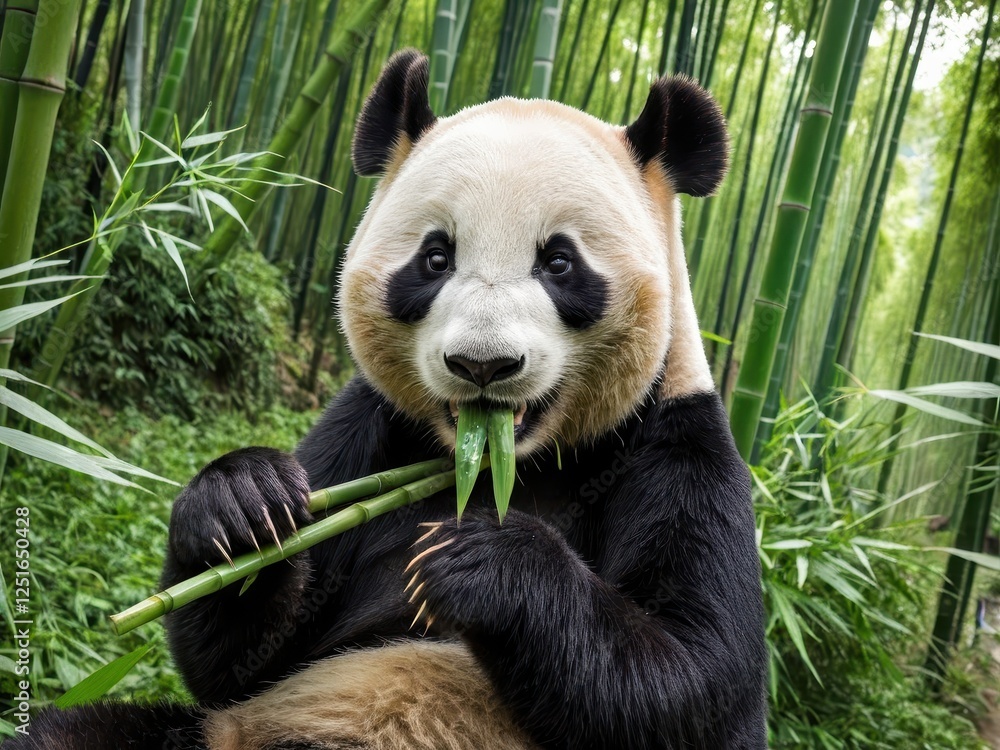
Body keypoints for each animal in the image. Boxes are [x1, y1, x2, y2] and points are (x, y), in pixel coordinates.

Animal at [13, 49, 767, 749]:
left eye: (559, 262)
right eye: (435, 258)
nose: (483, 364)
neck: (505, 462)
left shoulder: (679, 445)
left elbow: (695, 681)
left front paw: (482, 560)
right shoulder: (371, 421)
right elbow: (240, 663)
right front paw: (245, 501)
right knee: (72, 733)